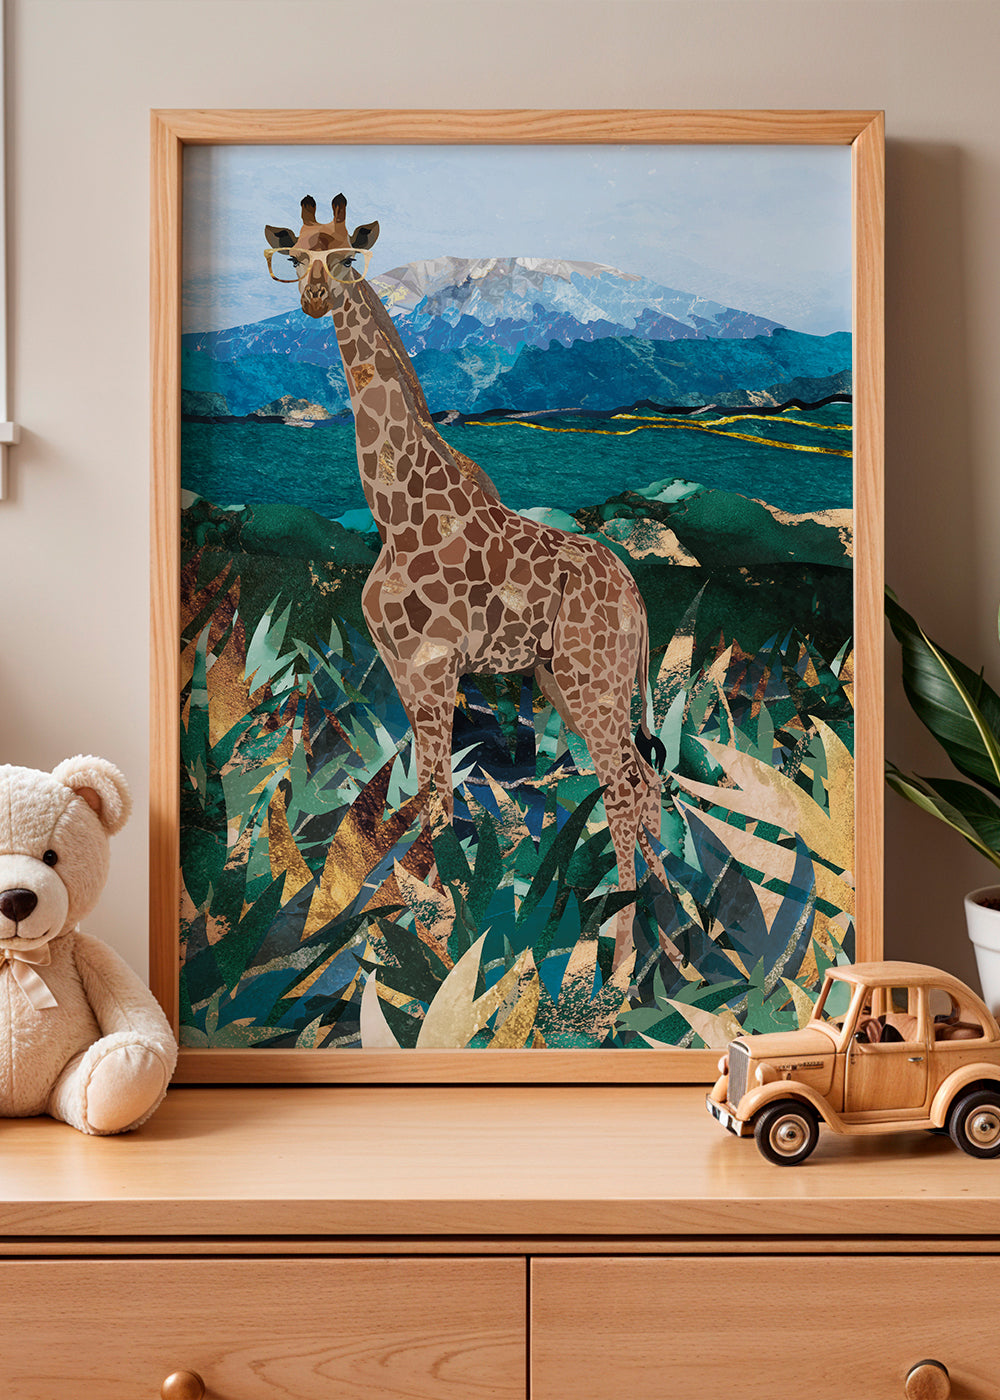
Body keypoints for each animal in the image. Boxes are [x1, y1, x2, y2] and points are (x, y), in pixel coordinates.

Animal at [264, 194, 667, 968]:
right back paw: (669, 921)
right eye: (295, 256)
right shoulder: (401, 670)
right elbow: (428, 798)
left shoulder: (432, 667)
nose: (314, 298)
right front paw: (422, 925)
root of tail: (637, 597)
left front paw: (446, 933)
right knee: (645, 777)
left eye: (348, 256)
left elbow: (440, 801)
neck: (396, 515)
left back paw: (625, 946)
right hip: (565, 682)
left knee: (624, 785)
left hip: (592, 681)